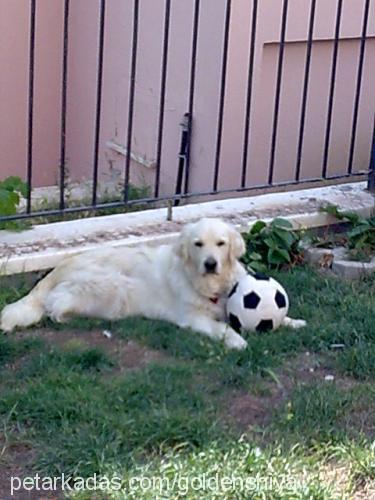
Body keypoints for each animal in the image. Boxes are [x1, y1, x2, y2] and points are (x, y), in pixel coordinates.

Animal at [0, 219, 306, 352]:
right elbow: (222, 328)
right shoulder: (193, 318)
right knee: (56, 309)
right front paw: (237, 341)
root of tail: (56, 269)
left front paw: (294, 322)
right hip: (113, 287)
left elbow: (278, 316)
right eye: (198, 244)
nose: (210, 263)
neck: (211, 286)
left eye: (221, 243)